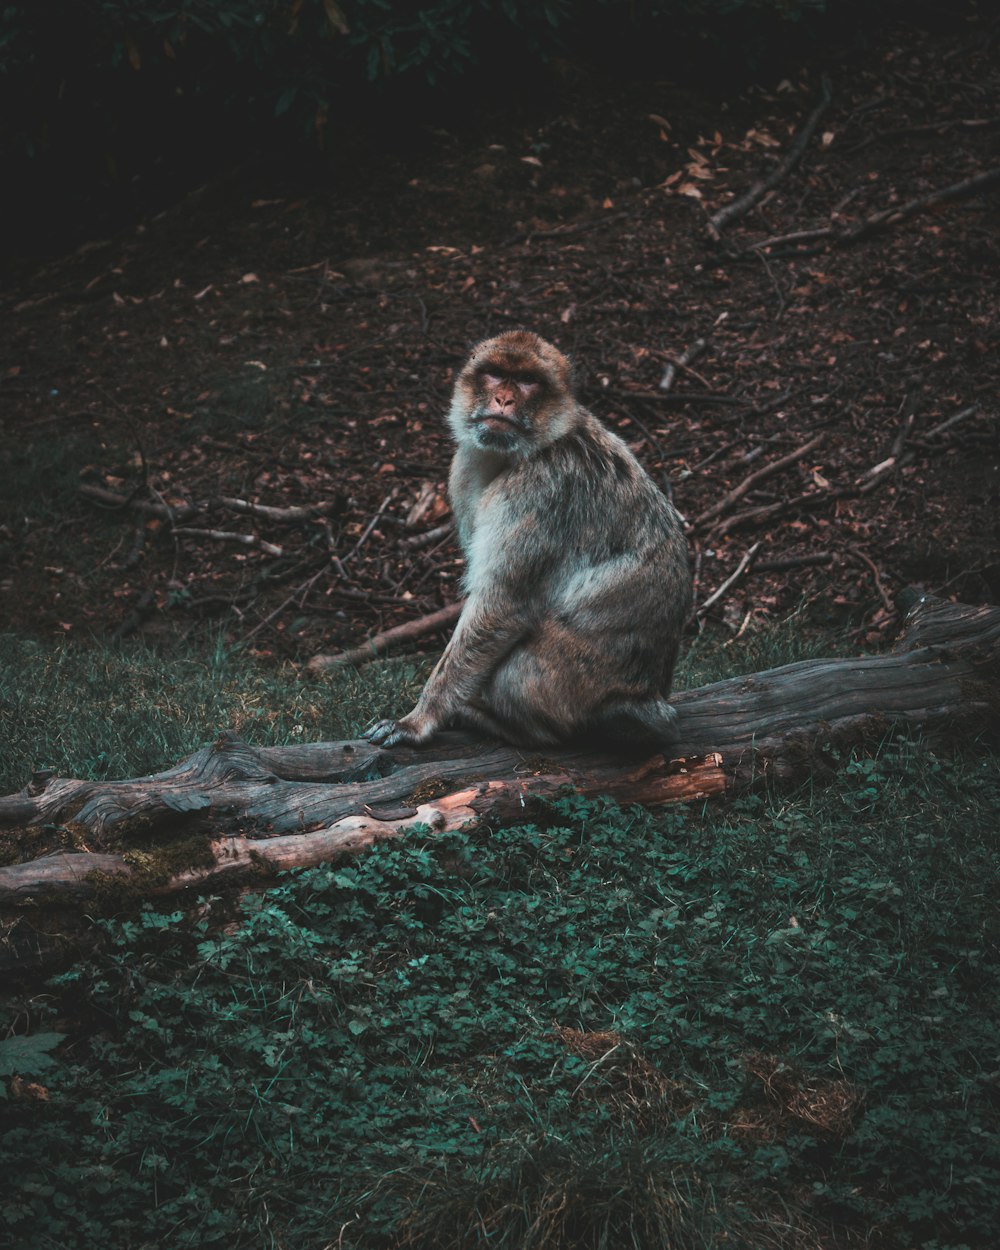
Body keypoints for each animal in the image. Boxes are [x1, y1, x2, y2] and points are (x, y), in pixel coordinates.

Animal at [362, 327, 690, 745]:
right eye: (495, 374)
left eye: (528, 381)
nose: (503, 399)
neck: (528, 451)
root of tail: (650, 693)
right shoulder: (465, 465)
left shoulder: (537, 490)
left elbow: (501, 605)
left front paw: (420, 719)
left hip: (578, 684)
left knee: (516, 675)